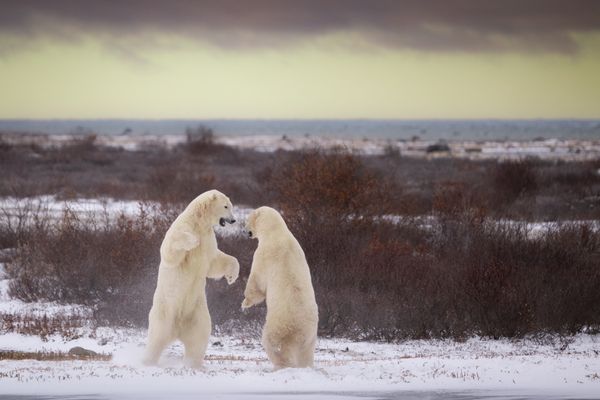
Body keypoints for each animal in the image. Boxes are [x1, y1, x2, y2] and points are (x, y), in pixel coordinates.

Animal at [143, 189, 239, 368]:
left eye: (231, 205)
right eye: (226, 206)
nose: (233, 220)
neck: (200, 222)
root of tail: (178, 329)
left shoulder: (209, 239)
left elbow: (215, 261)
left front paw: (232, 277)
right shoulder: (183, 228)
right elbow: (171, 252)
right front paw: (193, 241)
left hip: (197, 314)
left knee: (198, 338)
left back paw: (194, 364)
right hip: (165, 311)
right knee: (157, 337)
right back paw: (146, 361)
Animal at [243, 206, 322, 368]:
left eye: (248, 219)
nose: (245, 230)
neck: (276, 232)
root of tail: (298, 333)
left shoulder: (263, 254)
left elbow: (257, 283)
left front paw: (245, 303)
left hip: (279, 325)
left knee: (274, 343)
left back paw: (280, 365)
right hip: (311, 335)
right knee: (306, 352)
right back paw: (306, 366)